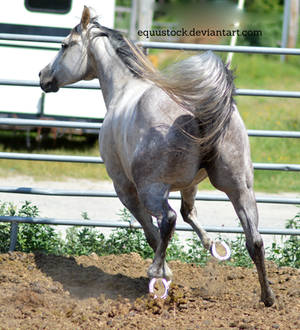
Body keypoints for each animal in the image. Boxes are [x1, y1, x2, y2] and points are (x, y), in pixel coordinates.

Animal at [39, 5, 274, 306]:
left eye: (64, 45)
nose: (43, 76)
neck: (123, 90)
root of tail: (198, 108)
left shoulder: (126, 189)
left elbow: (152, 230)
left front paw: (164, 273)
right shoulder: (190, 184)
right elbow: (188, 213)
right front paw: (213, 246)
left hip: (151, 189)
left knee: (168, 219)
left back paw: (156, 277)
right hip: (239, 186)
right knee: (254, 239)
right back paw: (268, 297)